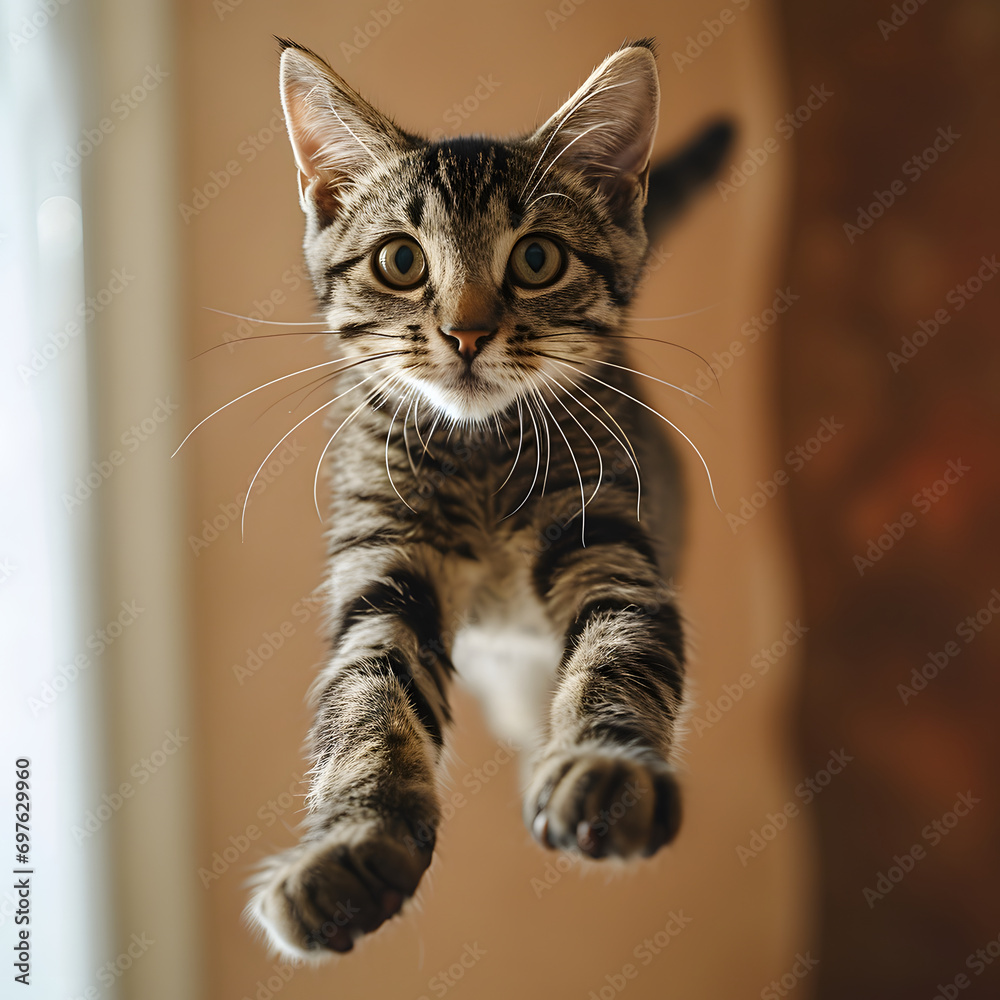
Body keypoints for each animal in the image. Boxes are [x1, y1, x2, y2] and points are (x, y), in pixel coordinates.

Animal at [248, 37, 736, 960]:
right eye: (400, 260)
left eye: (537, 258)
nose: (467, 332)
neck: (480, 455)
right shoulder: (383, 562)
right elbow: (367, 693)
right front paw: (349, 844)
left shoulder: (606, 533)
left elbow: (620, 650)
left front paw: (606, 769)